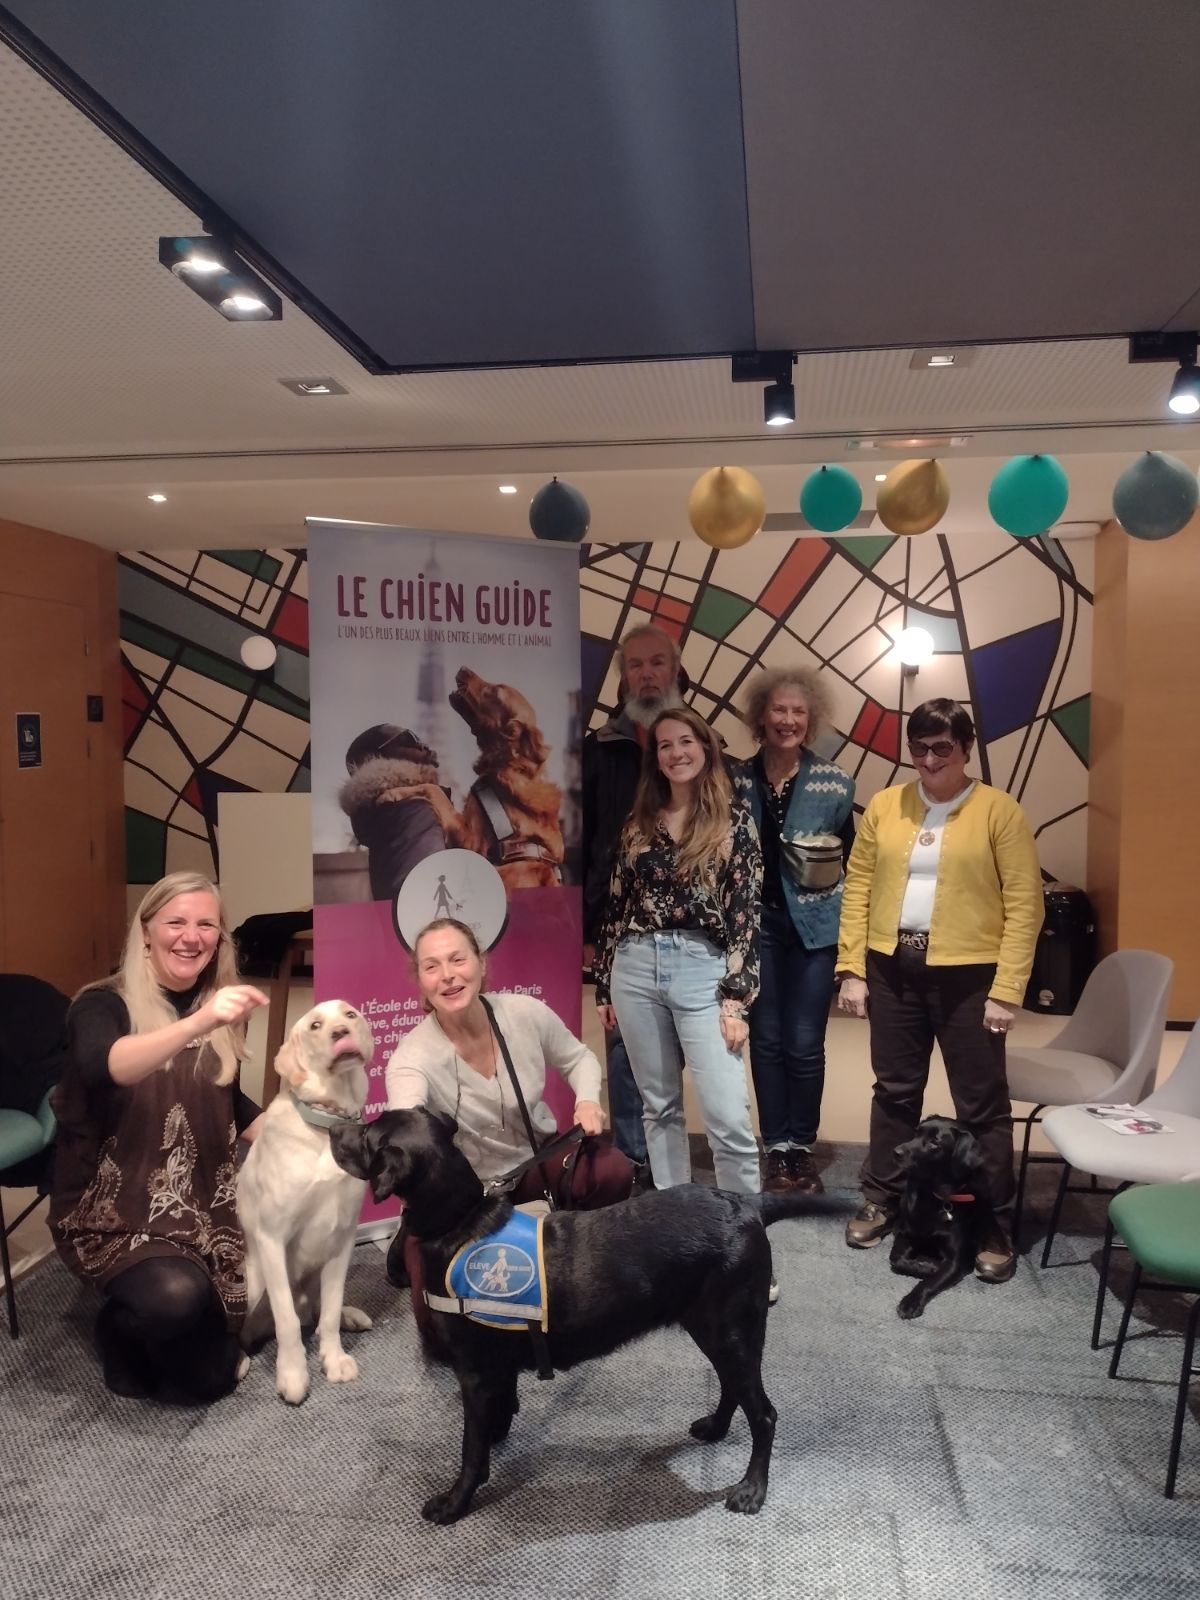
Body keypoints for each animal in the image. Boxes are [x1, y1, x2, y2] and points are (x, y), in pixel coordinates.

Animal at [240, 1004, 376, 1408]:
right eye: (316, 1025)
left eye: (350, 1014)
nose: (341, 1032)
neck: (328, 1125)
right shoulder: (271, 1237)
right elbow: (285, 1319)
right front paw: (293, 1374)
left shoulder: (344, 1237)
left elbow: (328, 1311)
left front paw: (334, 1358)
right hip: (251, 1281)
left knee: (317, 1310)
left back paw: (349, 1316)